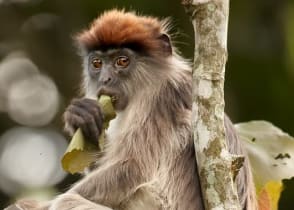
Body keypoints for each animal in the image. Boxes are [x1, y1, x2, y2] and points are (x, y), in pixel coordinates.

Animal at [6, 9, 255, 210]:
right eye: (97, 64)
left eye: (122, 61)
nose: (105, 78)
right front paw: (81, 117)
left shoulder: (161, 100)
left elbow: (130, 168)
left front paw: (33, 206)